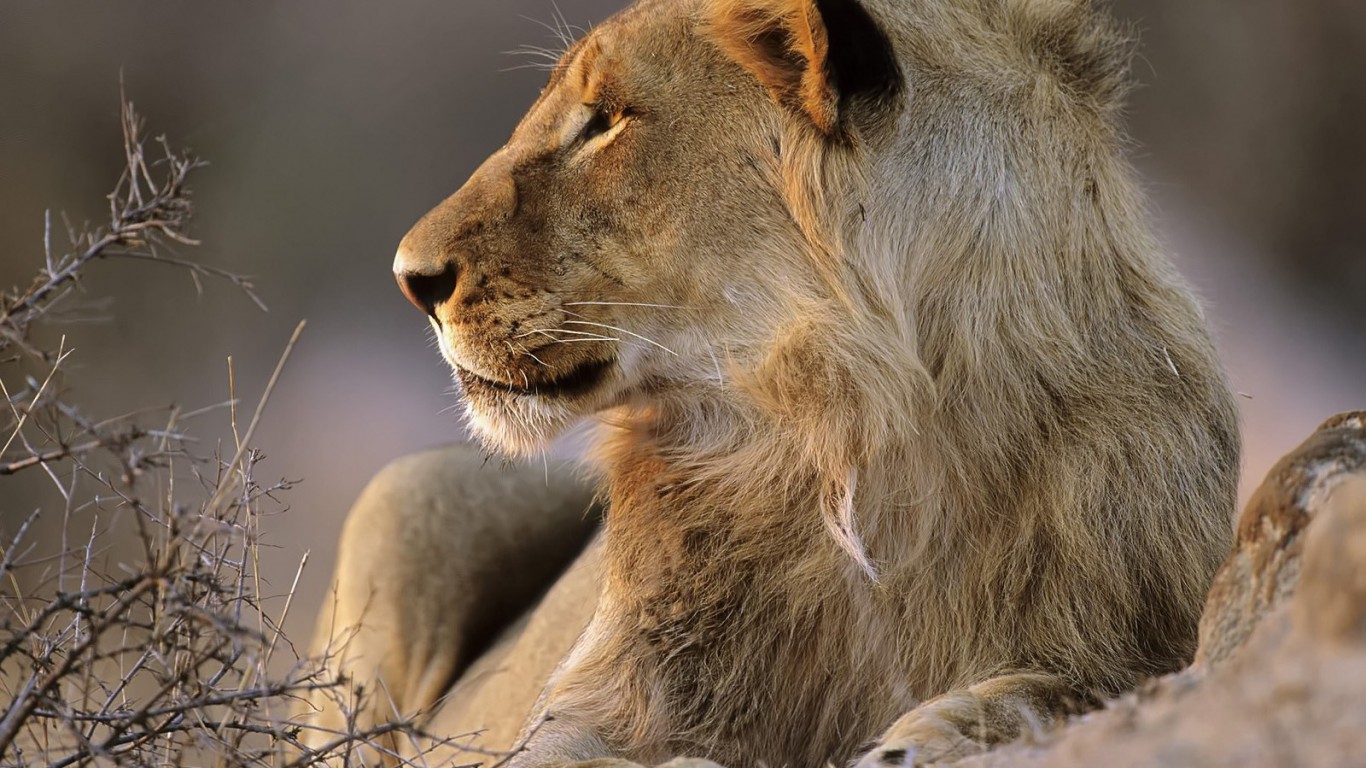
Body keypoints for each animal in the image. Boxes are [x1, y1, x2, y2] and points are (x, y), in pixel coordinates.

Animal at [298, 0, 1241, 765]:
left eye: (605, 121)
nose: (409, 278)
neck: (852, 436)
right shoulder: (600, 701)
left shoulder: (1140, 637)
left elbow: (1055, 690)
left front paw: (921, 737)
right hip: (411, 491)